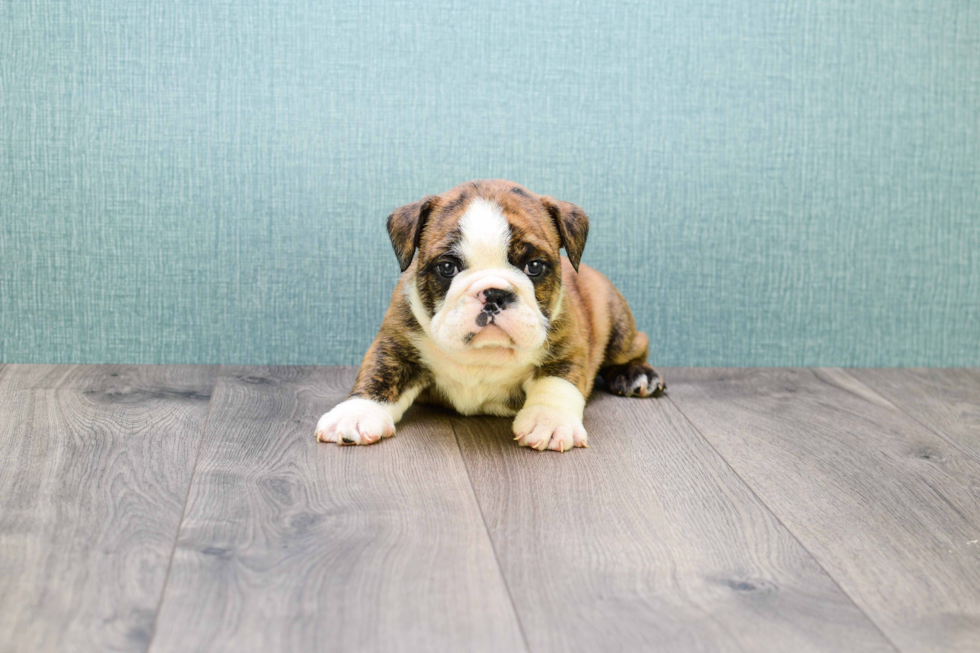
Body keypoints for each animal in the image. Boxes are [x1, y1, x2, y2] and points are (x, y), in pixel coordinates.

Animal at [316, 180, 668, 454]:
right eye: (447, 267)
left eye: (534, 266)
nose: (495, 293)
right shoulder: (396, 344)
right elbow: (378, 376)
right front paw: (355, 414)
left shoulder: (567, 347)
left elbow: (557, 382)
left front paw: (550, 421)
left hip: (617, 319)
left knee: (633, 347)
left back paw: (637, 375)